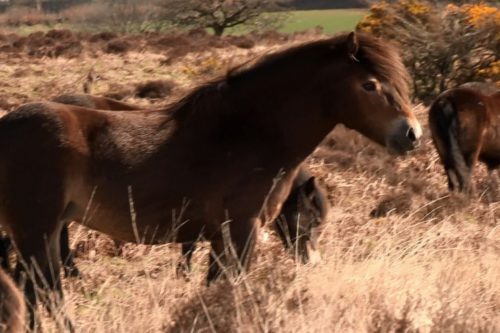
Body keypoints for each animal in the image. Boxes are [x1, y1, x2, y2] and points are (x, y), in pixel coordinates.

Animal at [0, 31, 420, 326]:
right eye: (369, 84)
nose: (411, 134)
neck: (245, 134)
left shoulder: (218, 237)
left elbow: (213, 288)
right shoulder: (241, 230)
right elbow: (230, 289)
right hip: (38, 230)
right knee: (47, 291)